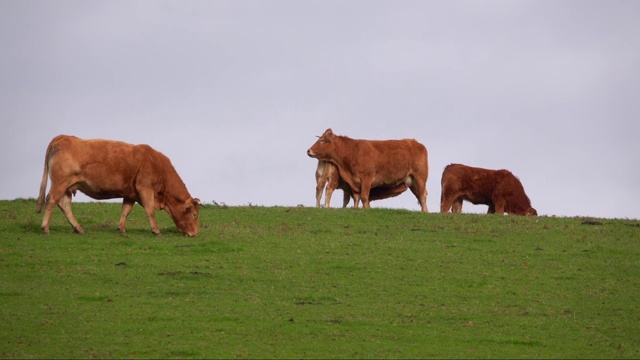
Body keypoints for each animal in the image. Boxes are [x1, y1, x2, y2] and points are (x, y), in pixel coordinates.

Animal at [35, 135, 200, 236]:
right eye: (194, 214)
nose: (195, 233)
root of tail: (63, 136)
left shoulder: (130, 193)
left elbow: (125, 210)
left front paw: (121, 229)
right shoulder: (145, 188)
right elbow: (150, 210)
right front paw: (156, 230)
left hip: (67, 186)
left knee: (64, 204)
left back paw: (78, 228)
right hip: (60, 183)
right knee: (52, 200)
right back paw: (45, 228)